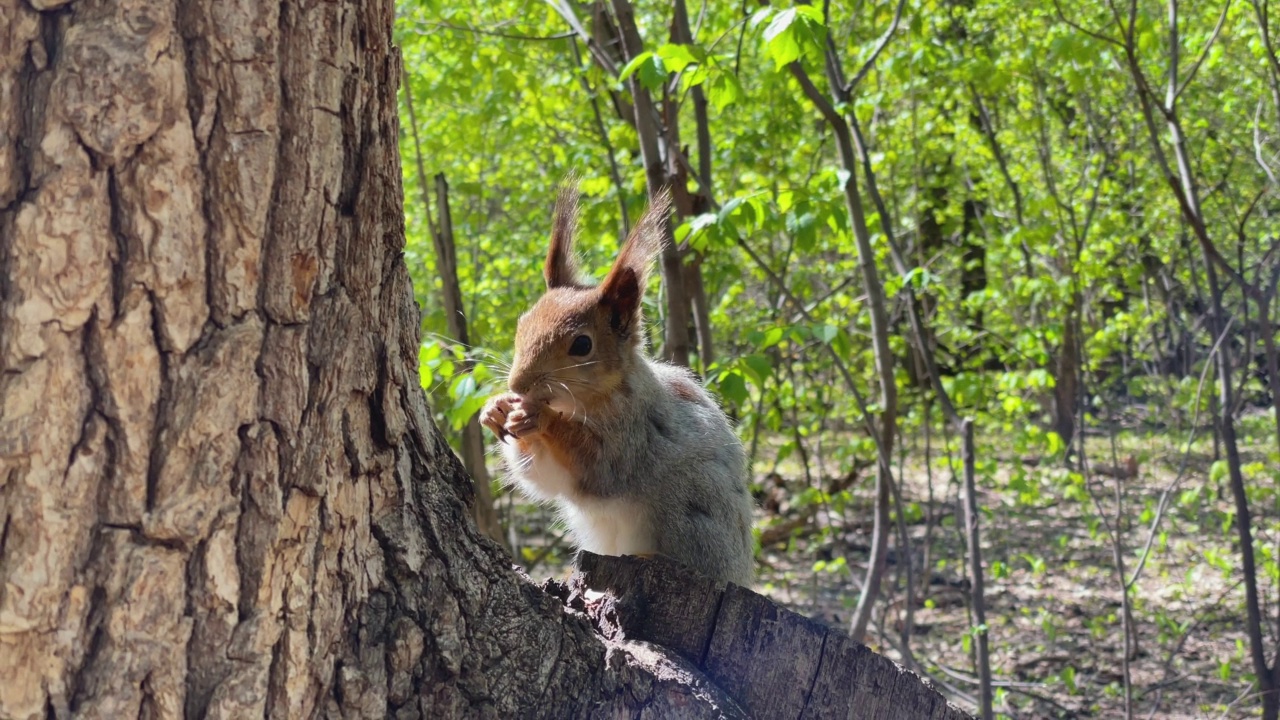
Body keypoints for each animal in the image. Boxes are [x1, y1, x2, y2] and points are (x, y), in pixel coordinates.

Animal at [481, 183, 757, 584]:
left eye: (582, 345)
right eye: (522, 323)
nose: (518, 385)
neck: (580, 401)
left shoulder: (635, 434)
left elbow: (599, 466)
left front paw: (540, 418)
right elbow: (541, 476)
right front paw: (496, 409)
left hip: (693, 512)